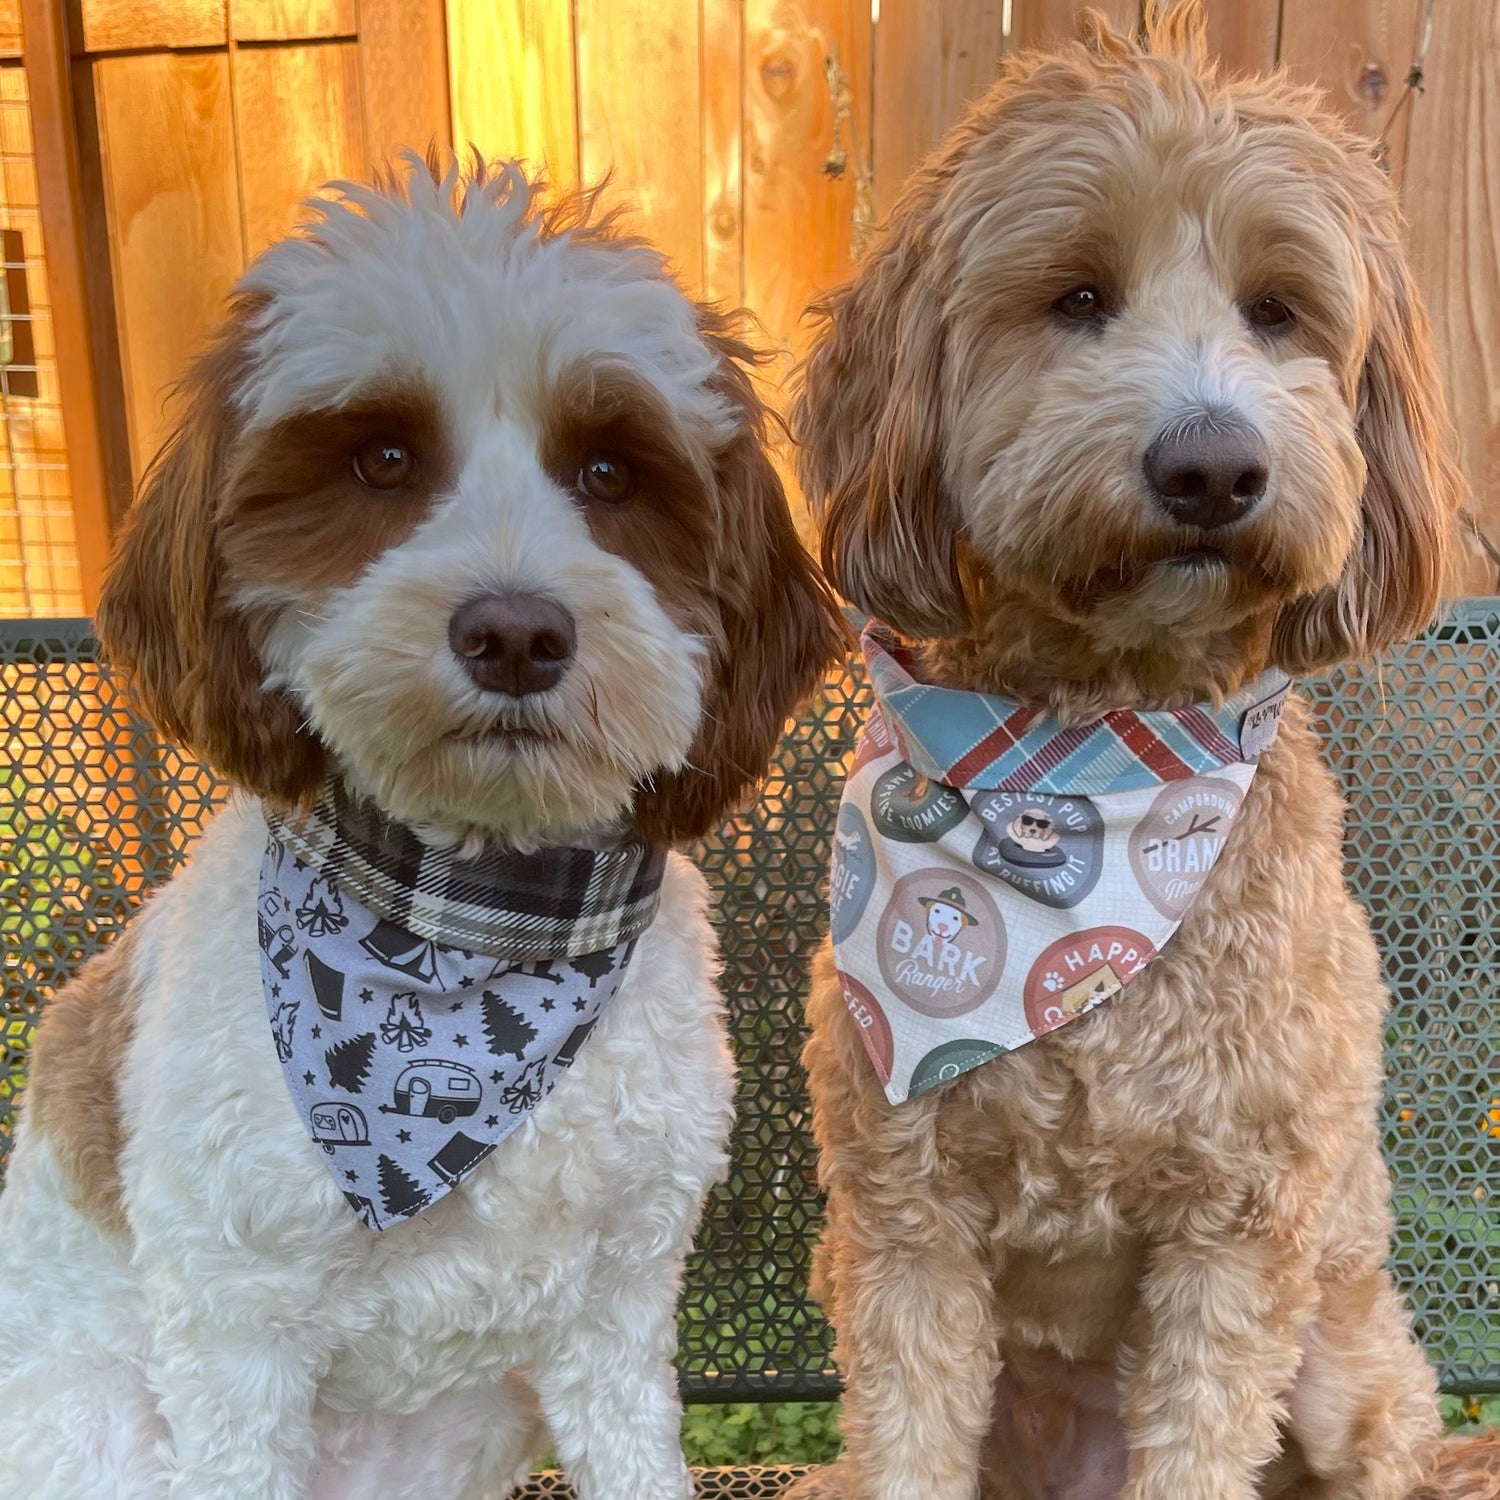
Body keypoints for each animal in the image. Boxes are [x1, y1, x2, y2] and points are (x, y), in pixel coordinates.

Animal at [0, 158, 846, 1494]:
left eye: (610, 474)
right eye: (383, 458)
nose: (515, 633)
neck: (475, 917)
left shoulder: (619, 1305)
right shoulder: (233, 1329)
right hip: (110, 1429)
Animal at [786, 8, 1500, 1500]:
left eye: (1279, 310)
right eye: (1075, 297)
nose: (1214, 466)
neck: (1086, 758)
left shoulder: (1238, 1229)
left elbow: (1204, 1435)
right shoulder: (902, 1224)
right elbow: (903, 1437)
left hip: (1345, 1355)